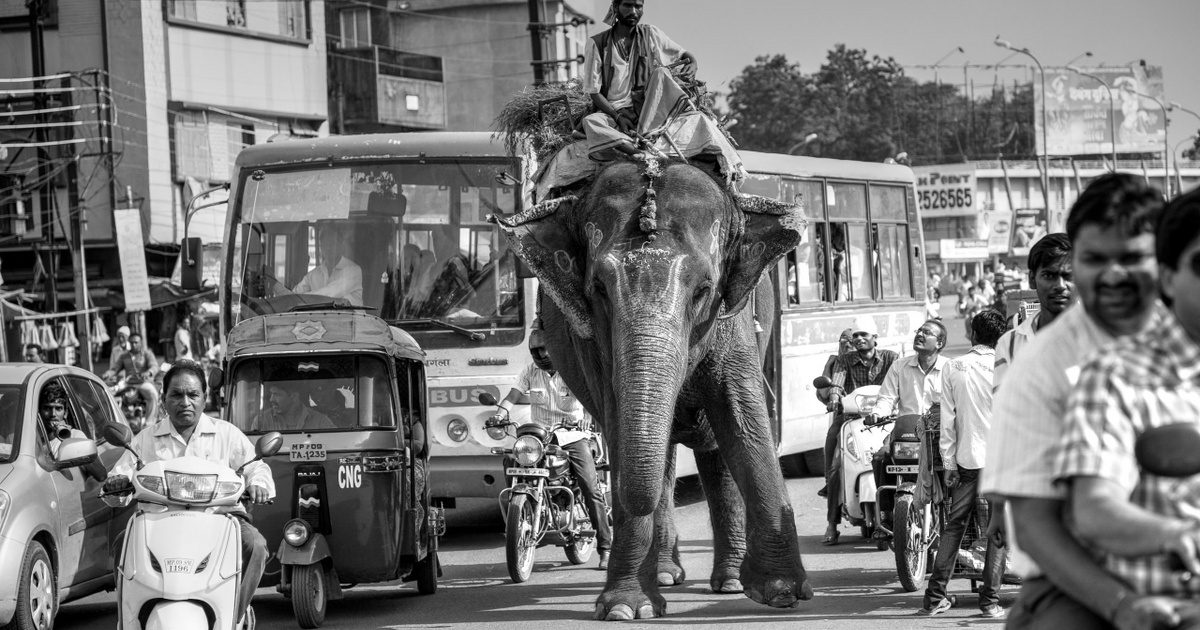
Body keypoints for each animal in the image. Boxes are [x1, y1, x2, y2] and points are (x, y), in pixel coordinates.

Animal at [489, 157, 816, 619]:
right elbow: (620, 426)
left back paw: (730, 581)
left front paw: (782, 591)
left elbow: (741, 418)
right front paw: (626, 608)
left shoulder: (733, 318)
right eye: (599, 290)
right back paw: (664, 574)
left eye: (703, 289)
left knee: (712, 450)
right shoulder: (592, 342)